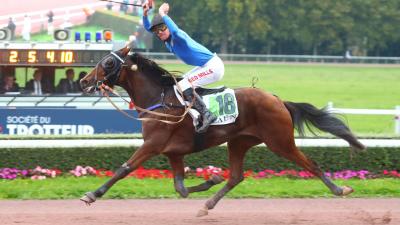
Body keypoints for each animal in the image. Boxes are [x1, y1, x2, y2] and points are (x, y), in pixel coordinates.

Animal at [78, 47, 366, 216]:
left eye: (107, 63)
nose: (84, 81)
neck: (160, 100)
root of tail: (278, 99)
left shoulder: (153, 145)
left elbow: (124, 169)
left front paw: (92, 194)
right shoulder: (174, 152)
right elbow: (180, 187)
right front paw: (211, 180)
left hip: (280, 141)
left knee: (311, 164)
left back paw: (340, 189)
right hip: (239, 142)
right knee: (236, 176)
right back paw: (208, 204)